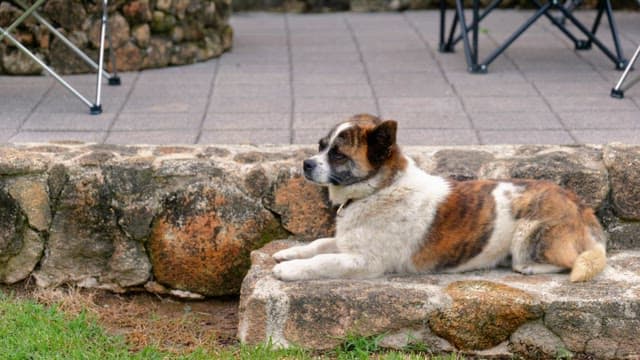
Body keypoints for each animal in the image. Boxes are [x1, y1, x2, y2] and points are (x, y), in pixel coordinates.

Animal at [272, 114, 608, 282]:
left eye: (338, 154)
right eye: (321, 145)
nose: (306, 164)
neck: (379, 190)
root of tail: (580, 207)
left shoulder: (365, 261)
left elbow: (323, 261)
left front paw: (290, 270)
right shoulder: (346, 243)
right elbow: (318, 245)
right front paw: (289, 254)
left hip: (528, 235)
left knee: (570, 261)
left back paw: (532, 268)